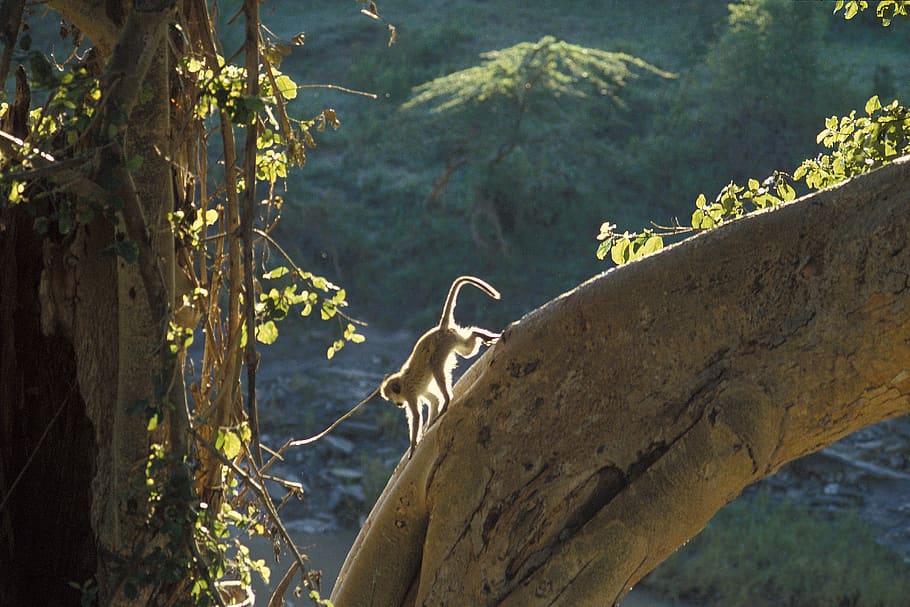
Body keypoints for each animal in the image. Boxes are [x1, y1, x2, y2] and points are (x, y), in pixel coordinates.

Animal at [380, 276, 501, 459]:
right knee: (467, 349)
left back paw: (448, 400)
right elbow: (433, 400)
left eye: (394, 398)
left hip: (442, 346)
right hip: (453, 339)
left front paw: (414, 446)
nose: (398, 405)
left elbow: (416, 416)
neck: (402, 381)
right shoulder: (419, 391)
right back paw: (478, 334)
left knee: (436, 366)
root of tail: (440, 329)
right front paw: (426, 431)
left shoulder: (409, 394)